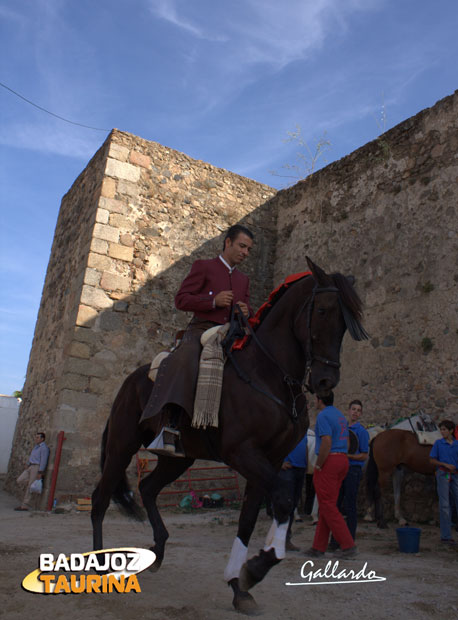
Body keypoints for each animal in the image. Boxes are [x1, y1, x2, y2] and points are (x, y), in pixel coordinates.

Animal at [92, 258, 368, 616]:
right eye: (322, 310)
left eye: (346, 323)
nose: (325, 381)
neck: (268, 374)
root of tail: (131, 380)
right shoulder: (243, 454)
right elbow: (283, 498)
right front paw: (258, 566)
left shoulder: (270, 461)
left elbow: (248, 520)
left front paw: (239, 585)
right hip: (121, 447)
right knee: (100, 498)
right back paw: (99, 568)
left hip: (179, 459)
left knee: (148, 488)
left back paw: (159, 548)